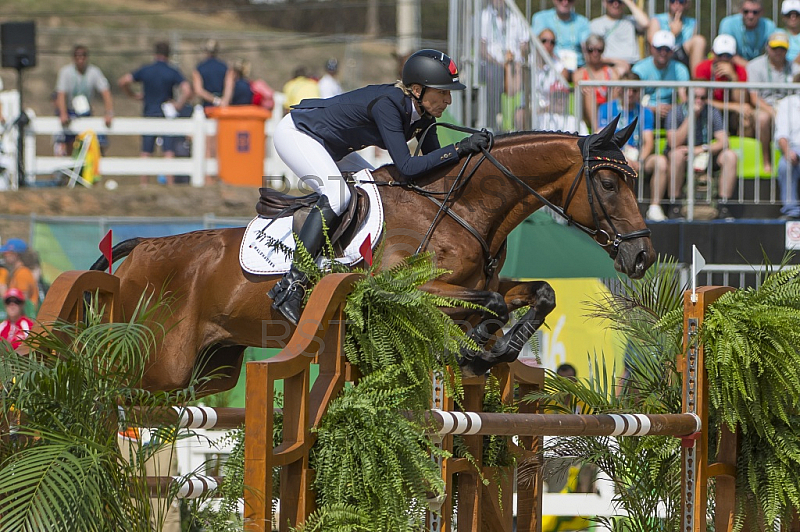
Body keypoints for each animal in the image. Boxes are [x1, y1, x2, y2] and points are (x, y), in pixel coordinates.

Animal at [90, 117, 652, 394]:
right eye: (608, 183)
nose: (643, 255)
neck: (460, 206)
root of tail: (143, 248)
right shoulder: (405, 291)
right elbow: (489, 304)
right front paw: (481, 349)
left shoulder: (483, 281)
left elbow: (539, 292)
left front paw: (498, 348)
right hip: (158, 364)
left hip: (207, 370)